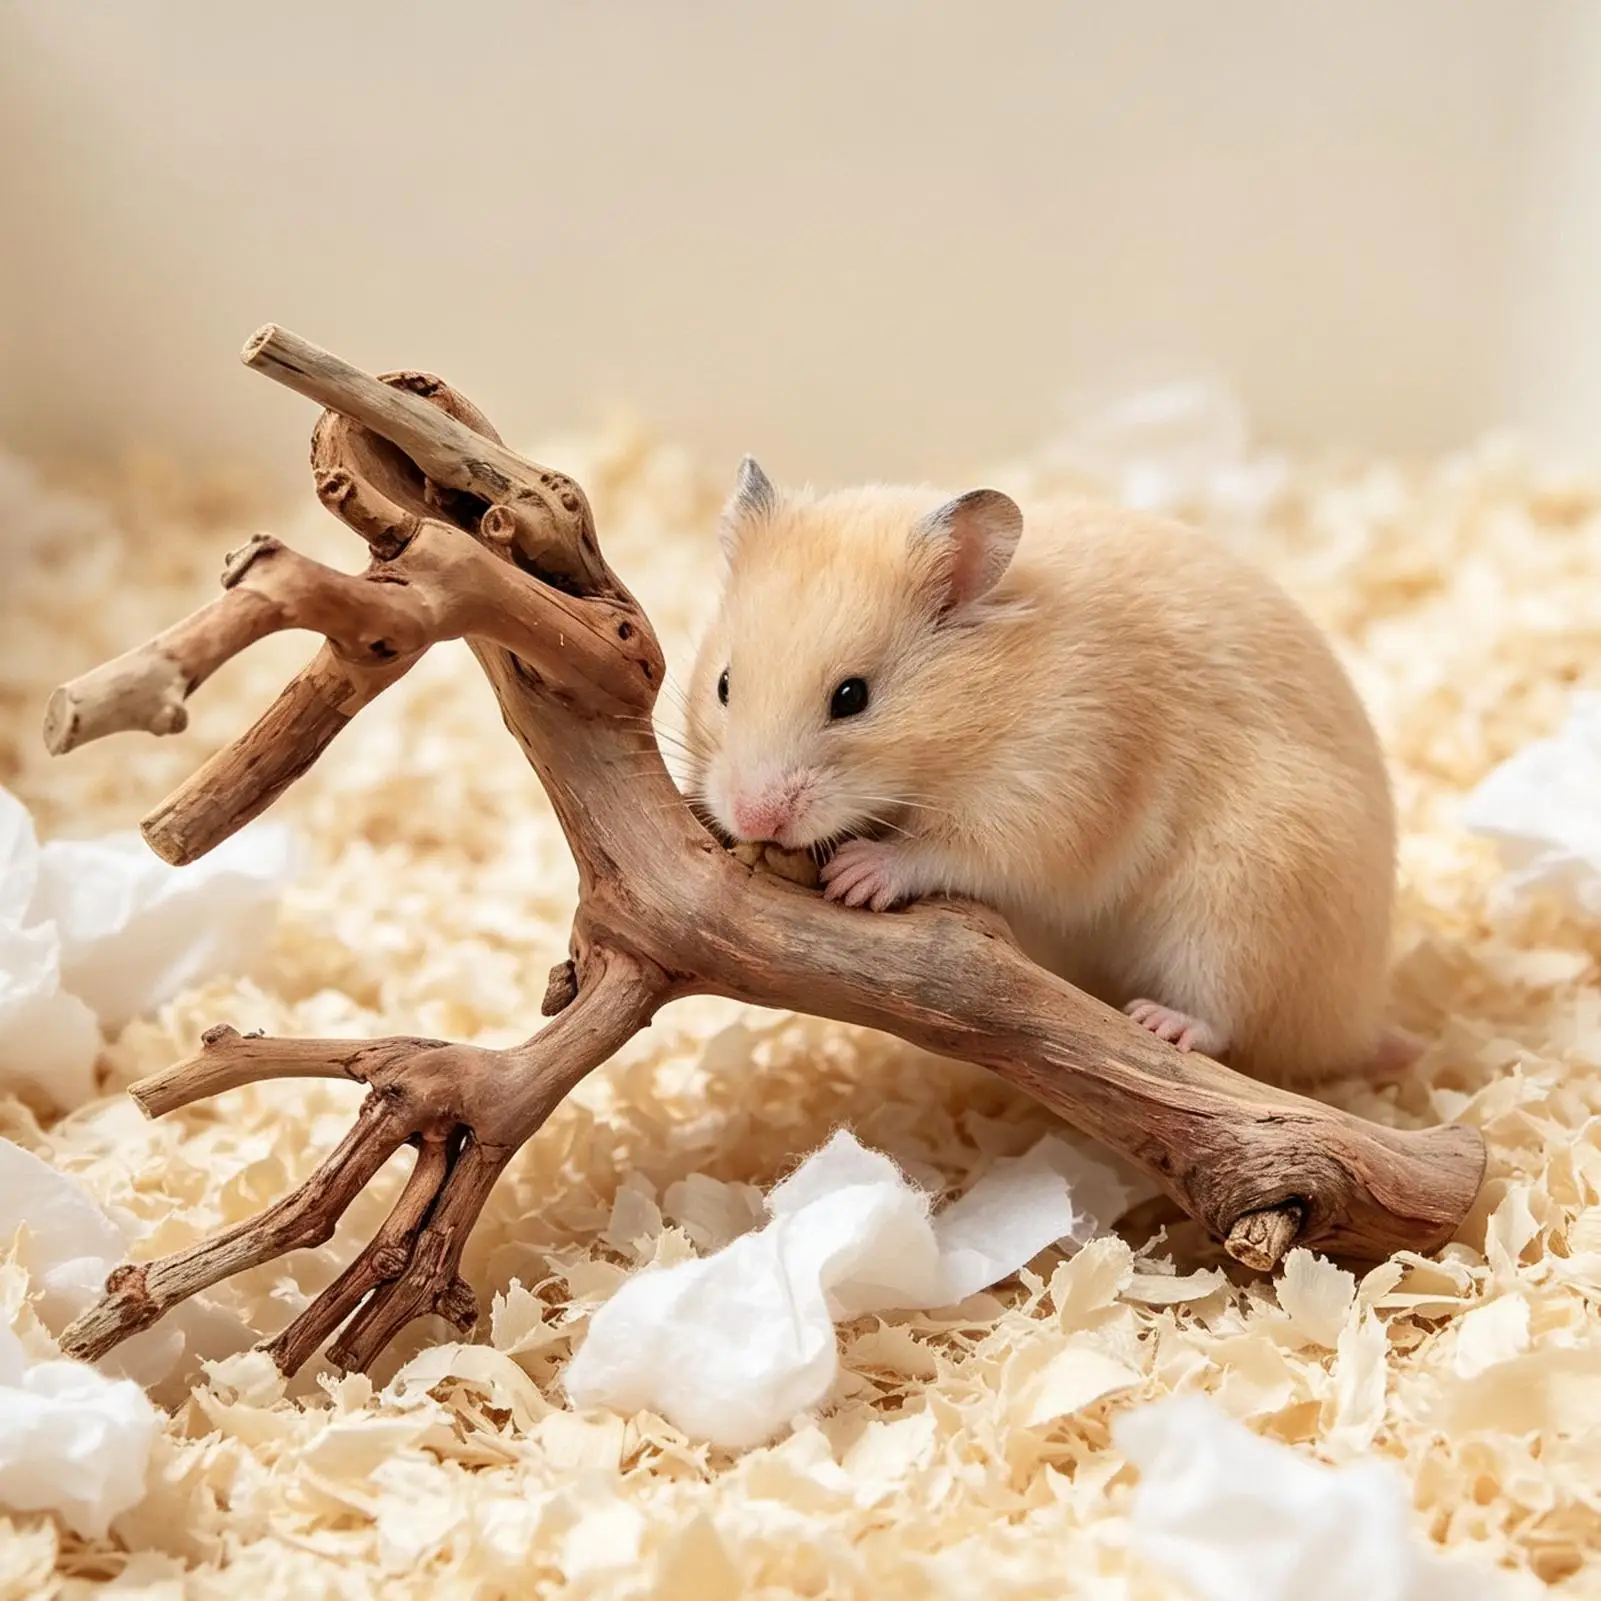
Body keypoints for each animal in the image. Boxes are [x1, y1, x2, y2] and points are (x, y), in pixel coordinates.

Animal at [680, 456, 1412, 1086]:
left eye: (851, 697)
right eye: (723, 684)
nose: (753, 817)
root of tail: (1360, 1022)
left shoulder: (1049, 792)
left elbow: (953, 852)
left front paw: (857, 875)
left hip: (1247, 908)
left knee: (1229, 1017)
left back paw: (1162, 1023)